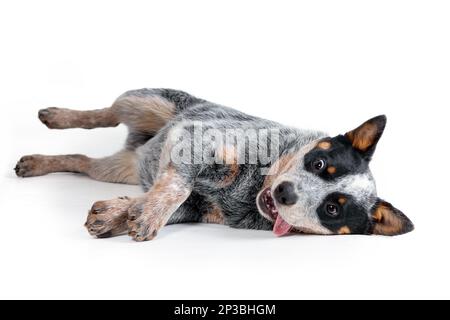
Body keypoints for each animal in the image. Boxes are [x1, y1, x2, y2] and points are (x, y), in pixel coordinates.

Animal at [14, 87, 414, 240]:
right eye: (318, 163)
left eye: (332, 208)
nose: (285, 193)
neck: (252, 189)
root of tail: (140, 145)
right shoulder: (199, 139)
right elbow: (177, 186)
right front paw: (147, 215)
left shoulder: (198, 209)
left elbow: (159, 198)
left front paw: (118, 214)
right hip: (145, 101)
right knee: (104, 114)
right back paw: (55, 116)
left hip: (116, 168)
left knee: (82, 160)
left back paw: (35, 163)